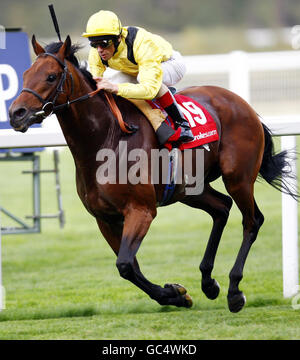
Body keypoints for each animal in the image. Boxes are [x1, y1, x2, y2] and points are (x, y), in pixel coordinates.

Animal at [8, 35, 296, 314]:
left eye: (51, 76)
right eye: (25, 74)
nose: (15, 114)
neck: (106, 139)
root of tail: (242, 103)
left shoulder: (141, 210)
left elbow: (124, 264)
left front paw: (174, 294)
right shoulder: (105, 218)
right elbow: (130, 267)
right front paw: (176, 294)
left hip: (238, 178)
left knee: (252, 220)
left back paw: (234, 291)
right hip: (190, 188)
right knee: (222, 208)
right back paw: (208, 282)